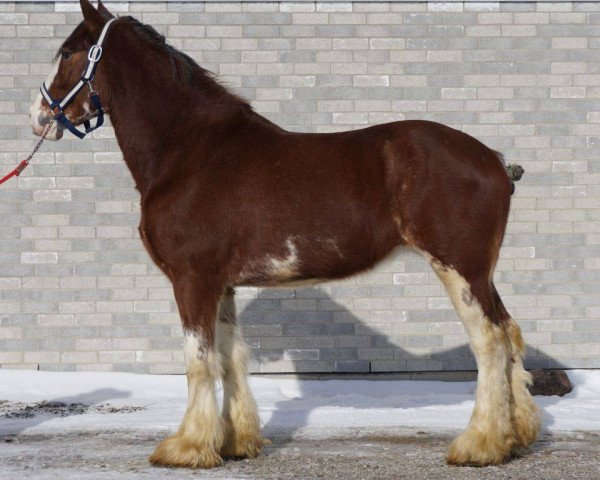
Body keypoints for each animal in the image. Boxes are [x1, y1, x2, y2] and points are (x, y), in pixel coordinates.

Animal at [30, 0, 540, 470]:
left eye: (68, 52)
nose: (39, 117)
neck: (189, 151)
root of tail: (495, 161)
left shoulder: (192, 279)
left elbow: (199, 359)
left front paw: (187, 447)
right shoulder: (222, 285)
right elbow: (230, 357)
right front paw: (235, 443)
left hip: (459, 268)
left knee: (489, 342)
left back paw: (480, 445)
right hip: (481, 273)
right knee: (508, 331)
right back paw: (515, 436)